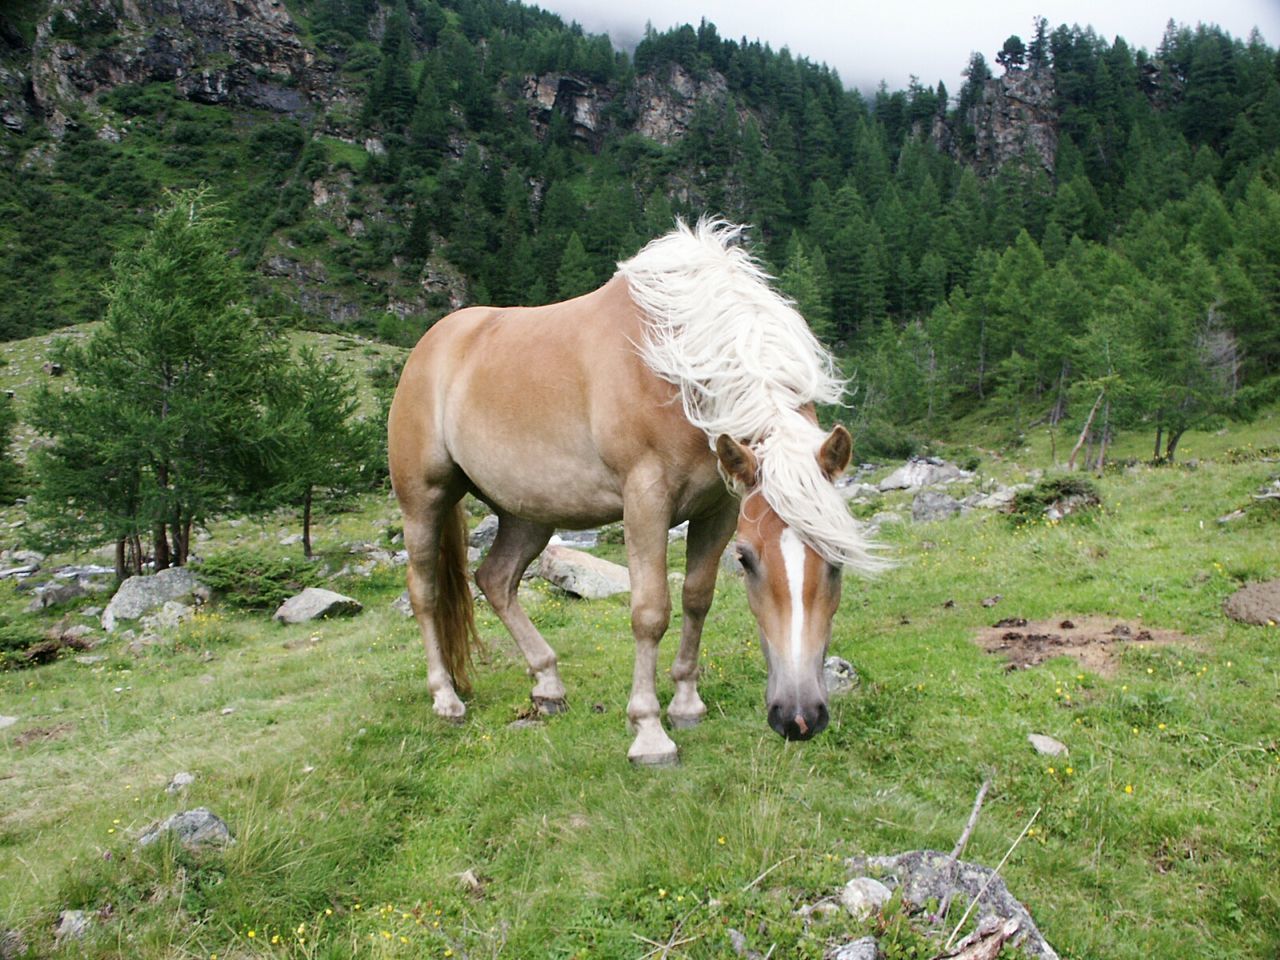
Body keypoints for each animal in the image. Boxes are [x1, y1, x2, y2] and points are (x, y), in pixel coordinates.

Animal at [386, 220, 880, 768]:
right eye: (748, 560)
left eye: (837, 559)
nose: (798, 717)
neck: (680, 372)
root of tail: (432, 345)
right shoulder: (646, 500)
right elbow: (650, 612)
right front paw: (649, 732)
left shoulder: (720, 508)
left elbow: (696, 598)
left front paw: (686, 703)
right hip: (423, 501)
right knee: (425, 591)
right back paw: (446, 698)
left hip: (528, 515)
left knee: (495, 580)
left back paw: (548, 685)